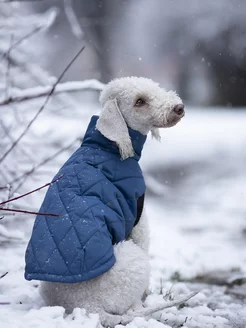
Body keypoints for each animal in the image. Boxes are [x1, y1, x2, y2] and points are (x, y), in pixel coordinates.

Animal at [38, 76, 184, 326]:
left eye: (155, 88)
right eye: (139, 101)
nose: (179, 108)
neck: (108, 147)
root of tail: (88, 306)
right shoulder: (138, 223)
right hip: (134, 261)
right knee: (131, 305)